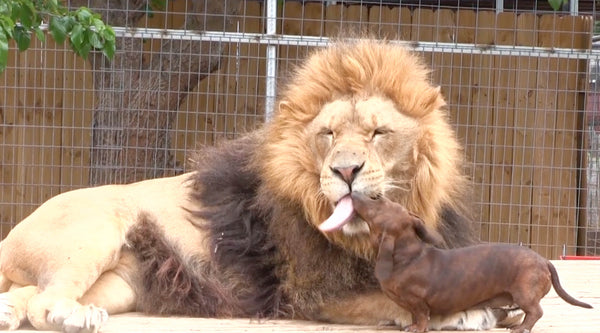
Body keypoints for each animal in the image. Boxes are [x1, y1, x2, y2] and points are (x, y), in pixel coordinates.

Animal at [0, 39, 516, 330]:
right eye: (328, 134)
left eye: (377, 133)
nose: (345, 171)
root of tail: (13, 232)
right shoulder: (309, 292)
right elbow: (388, 297)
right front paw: (463, 312)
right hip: (93, 233)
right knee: (45, 304)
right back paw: (72, 317)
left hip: (119, 283)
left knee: (28, 296)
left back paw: (17, 311)